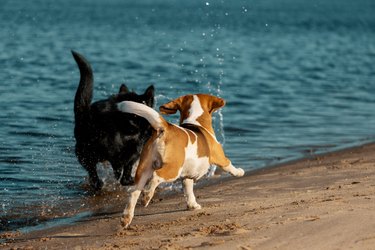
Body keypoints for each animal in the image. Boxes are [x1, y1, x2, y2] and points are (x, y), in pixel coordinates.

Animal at [72, 50, 154, 190]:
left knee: (93, 173)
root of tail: (88, 117)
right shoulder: (134, 149)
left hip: (82, 153)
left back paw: (98, 183)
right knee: (121, 170)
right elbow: (126, 167)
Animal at [118, 93, 247, 228]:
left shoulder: (187, 176)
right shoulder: (220, 157)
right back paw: (147, 196)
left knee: (134, 191)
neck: (195, 121)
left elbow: (188, 191)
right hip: (173, 169)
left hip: (143, 168)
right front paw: (240, 172)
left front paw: (193, 205)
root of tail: (165, 128)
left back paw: (126, 217)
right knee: (156, 177)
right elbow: (230, 166)